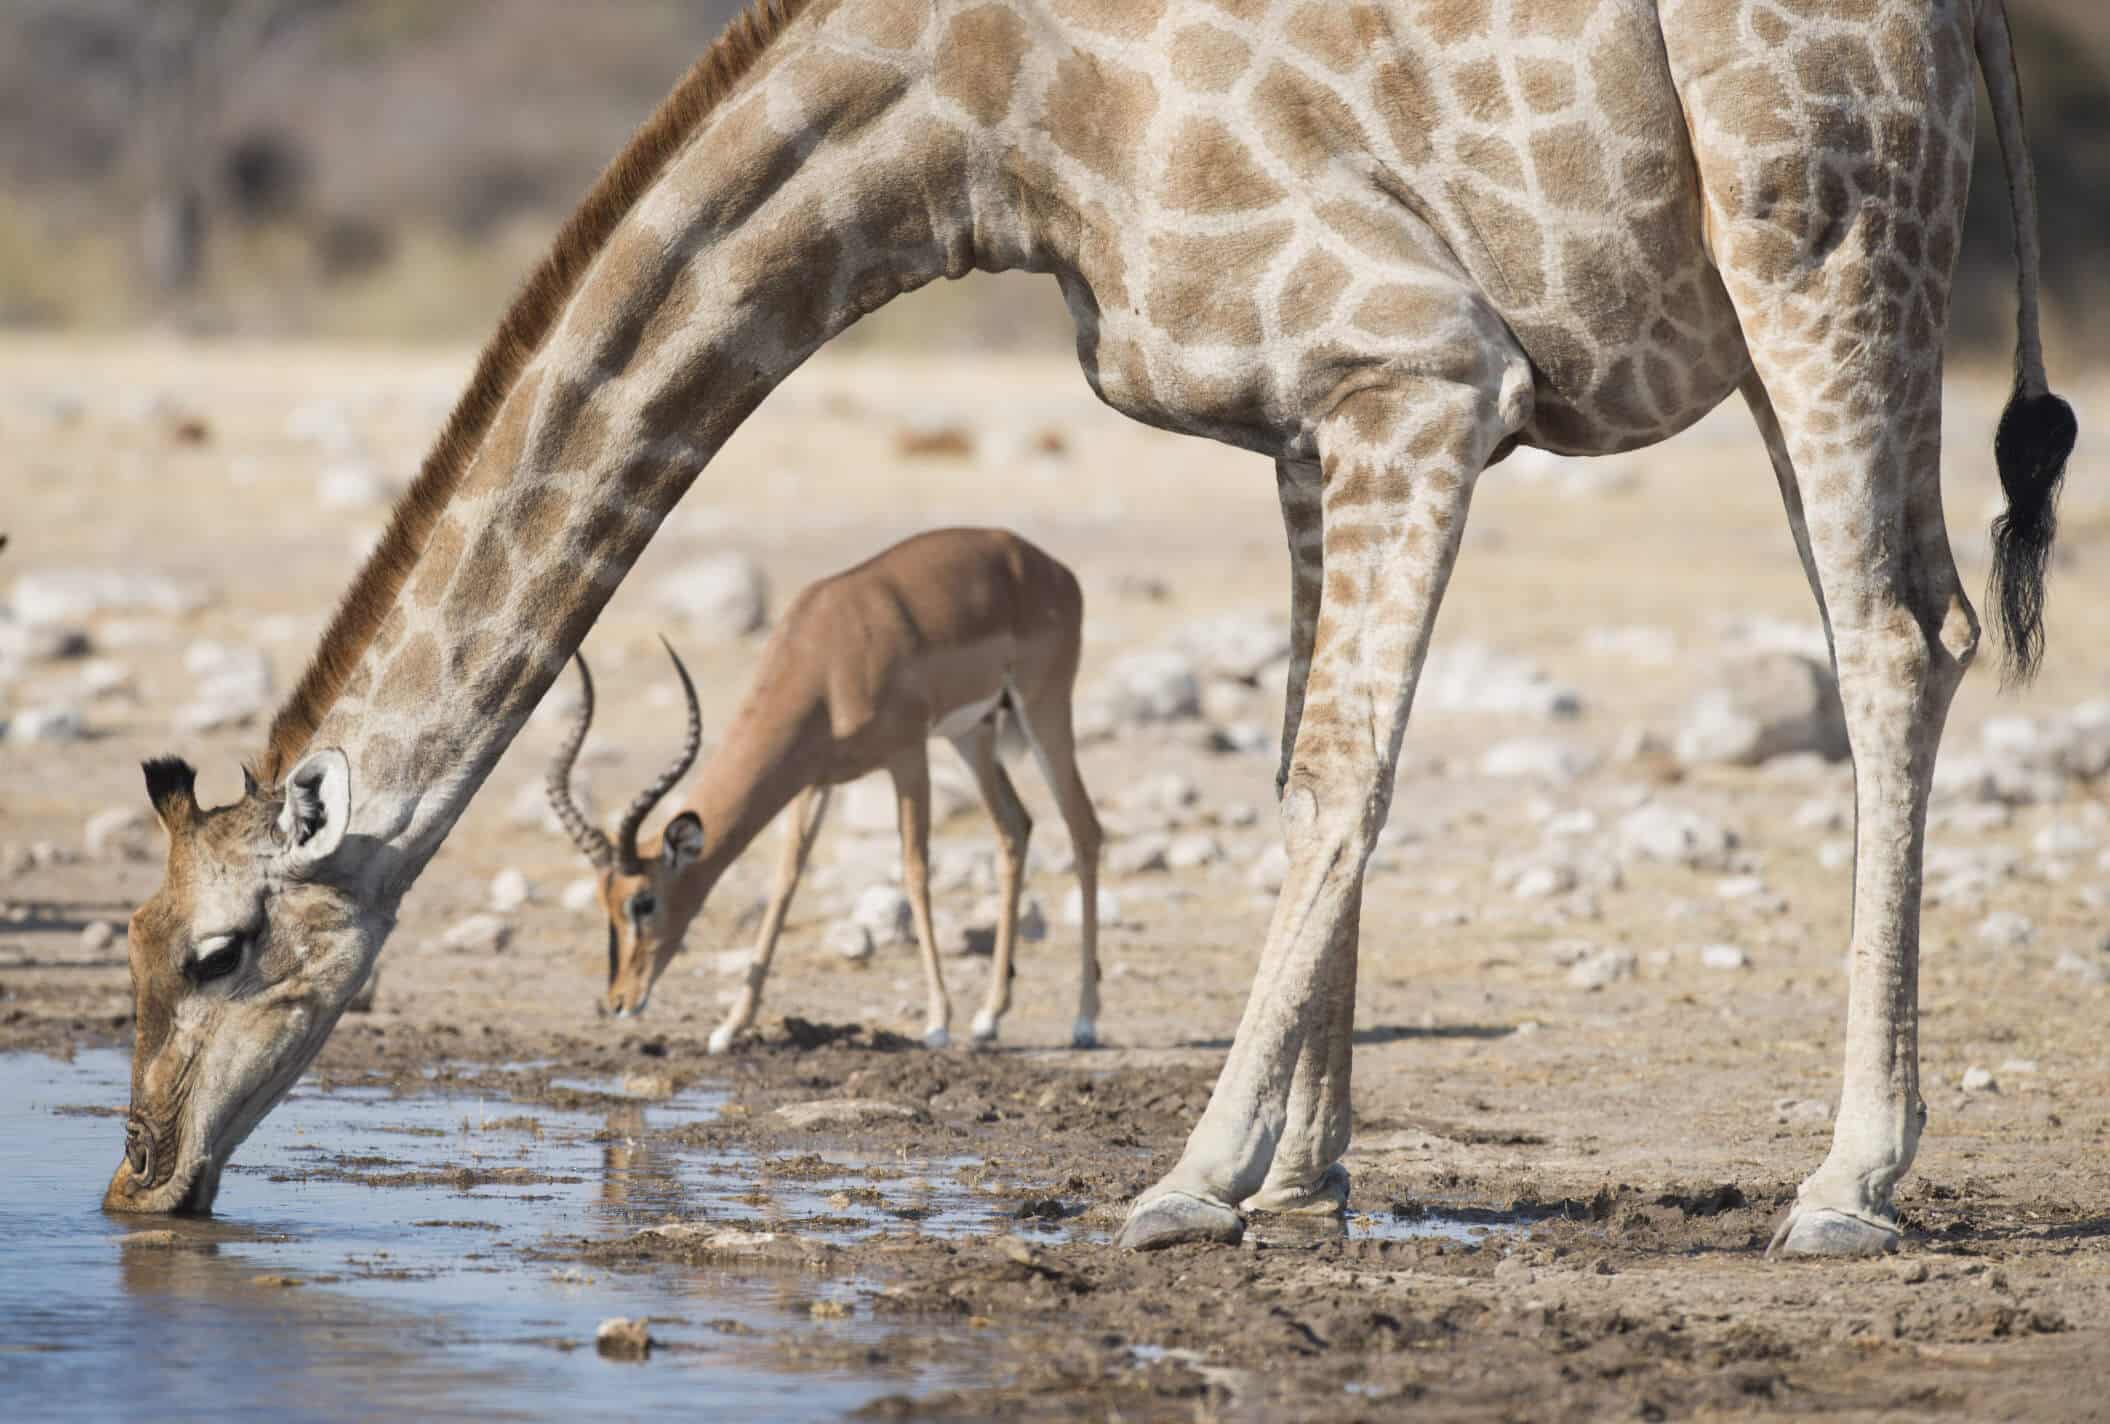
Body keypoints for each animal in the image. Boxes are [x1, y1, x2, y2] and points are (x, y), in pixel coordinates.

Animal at [107, 0, 2067, 1274]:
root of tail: (1955, 7)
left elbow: (1338, 774)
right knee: (1918, 616)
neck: (984, 115)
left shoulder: (1418, 361)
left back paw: (1846, 1184)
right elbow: (1305, 770)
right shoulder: (1307, 415)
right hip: (1781, 297)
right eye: (123, 948)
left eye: (215, 950)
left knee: (1895, 636)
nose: (138, 1180)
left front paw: (1194, 1179)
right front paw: (1302, 1185)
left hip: (1819, 244)